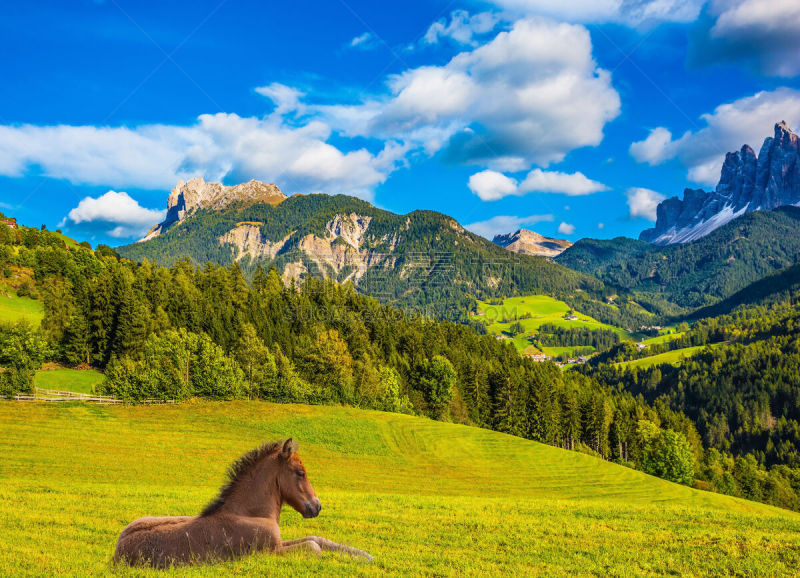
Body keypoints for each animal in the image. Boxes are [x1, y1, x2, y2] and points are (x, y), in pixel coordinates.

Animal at [113, 436, 376, 568]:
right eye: (300, 473)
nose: (317, 506)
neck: (249, 513)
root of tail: (115, 553)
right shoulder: (269, 551)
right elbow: (314, 547)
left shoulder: (278, 542)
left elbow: (317, 539)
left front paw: (365, 556)